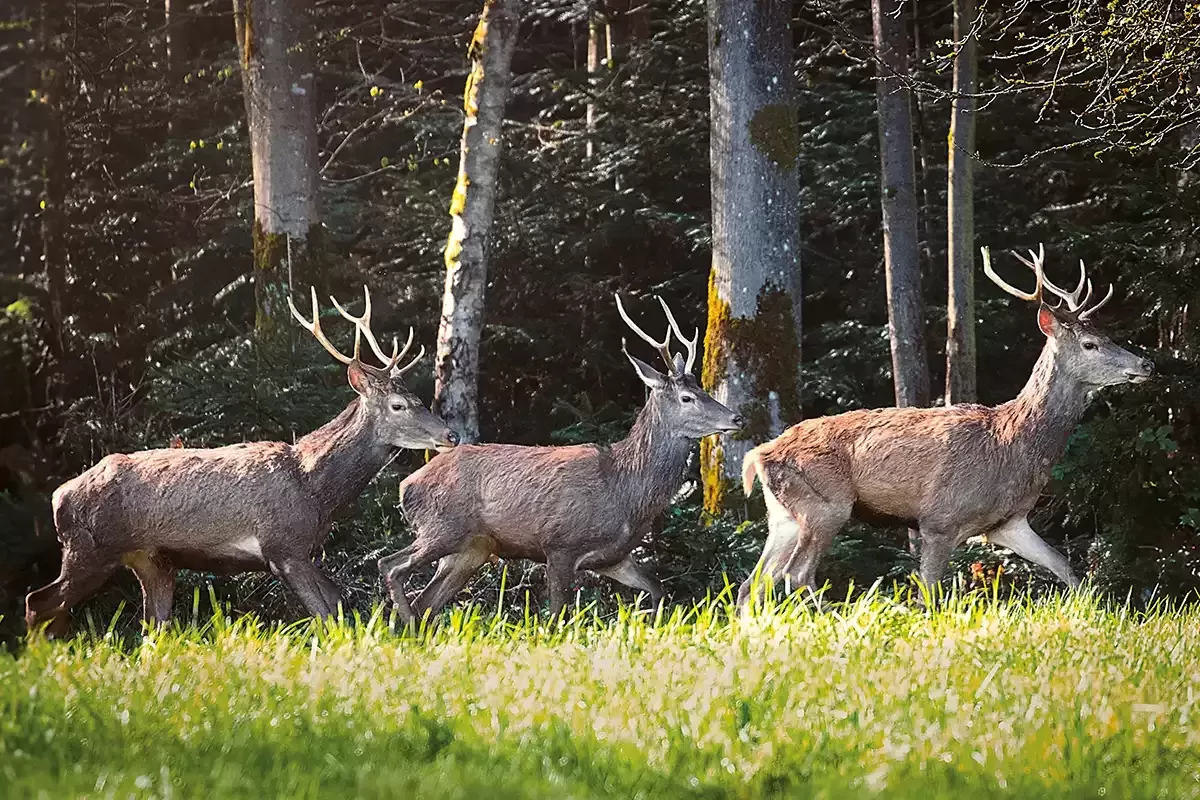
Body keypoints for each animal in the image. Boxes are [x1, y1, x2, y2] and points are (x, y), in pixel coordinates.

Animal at [29, 284, 458, 633]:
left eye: (419, 398)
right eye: (398, 404)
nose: (450, 435)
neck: (314, 489)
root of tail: (59, 496)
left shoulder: (302, 549)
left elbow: (338, 604)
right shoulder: (282, 546)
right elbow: (323, 615)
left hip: (152, 561)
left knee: (153, 624)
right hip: (89, 547)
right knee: (39, 601)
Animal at [379, 293, 744, 618]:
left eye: (702, 389)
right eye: (686, 398)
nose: (737, 418)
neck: (625, 490)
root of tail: (405, 486)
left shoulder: (614, 557)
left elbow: (658, 589)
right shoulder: (560, 545)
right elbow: (557, 616)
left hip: (470, 550)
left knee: (426, 603)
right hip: (442, 527)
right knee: (391, 566)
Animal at [739, 245, 1152, 606]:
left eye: (1107, 335)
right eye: (1089, 344)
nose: (1146, 364)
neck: (1013, 444)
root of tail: (758, 455)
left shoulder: (1009, 521)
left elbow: (1065, 566)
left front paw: (1092, 610)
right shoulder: (939, 518)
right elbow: (930, 593)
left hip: (785, 516)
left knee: (753, 582)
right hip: (826, 504)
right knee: (796, 574)